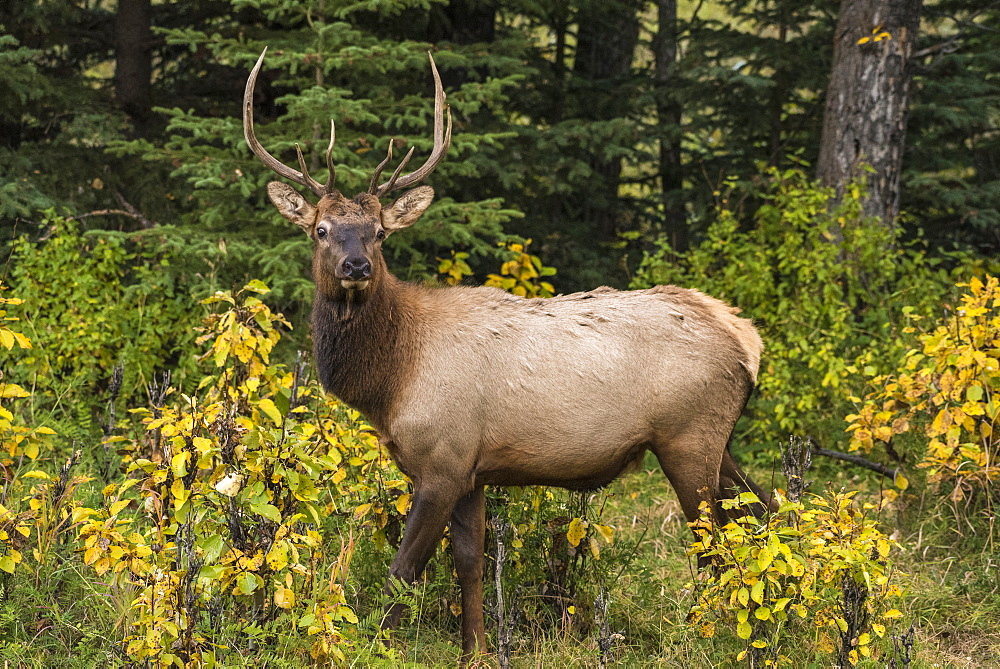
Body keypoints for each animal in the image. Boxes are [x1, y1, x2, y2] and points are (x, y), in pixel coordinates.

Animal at [242, 48, 772, 664]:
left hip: (689, 436)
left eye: (379, 233)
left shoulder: (443, 459)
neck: (391, 381)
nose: (356, 267)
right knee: (764, 512)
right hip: (718, 441)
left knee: (715, 542)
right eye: (322, 229)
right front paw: (475, 649)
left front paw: (374, 645)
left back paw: (711, 634)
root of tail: (748, 339)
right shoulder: (471, 468)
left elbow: (404, 571)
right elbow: (469, 565)